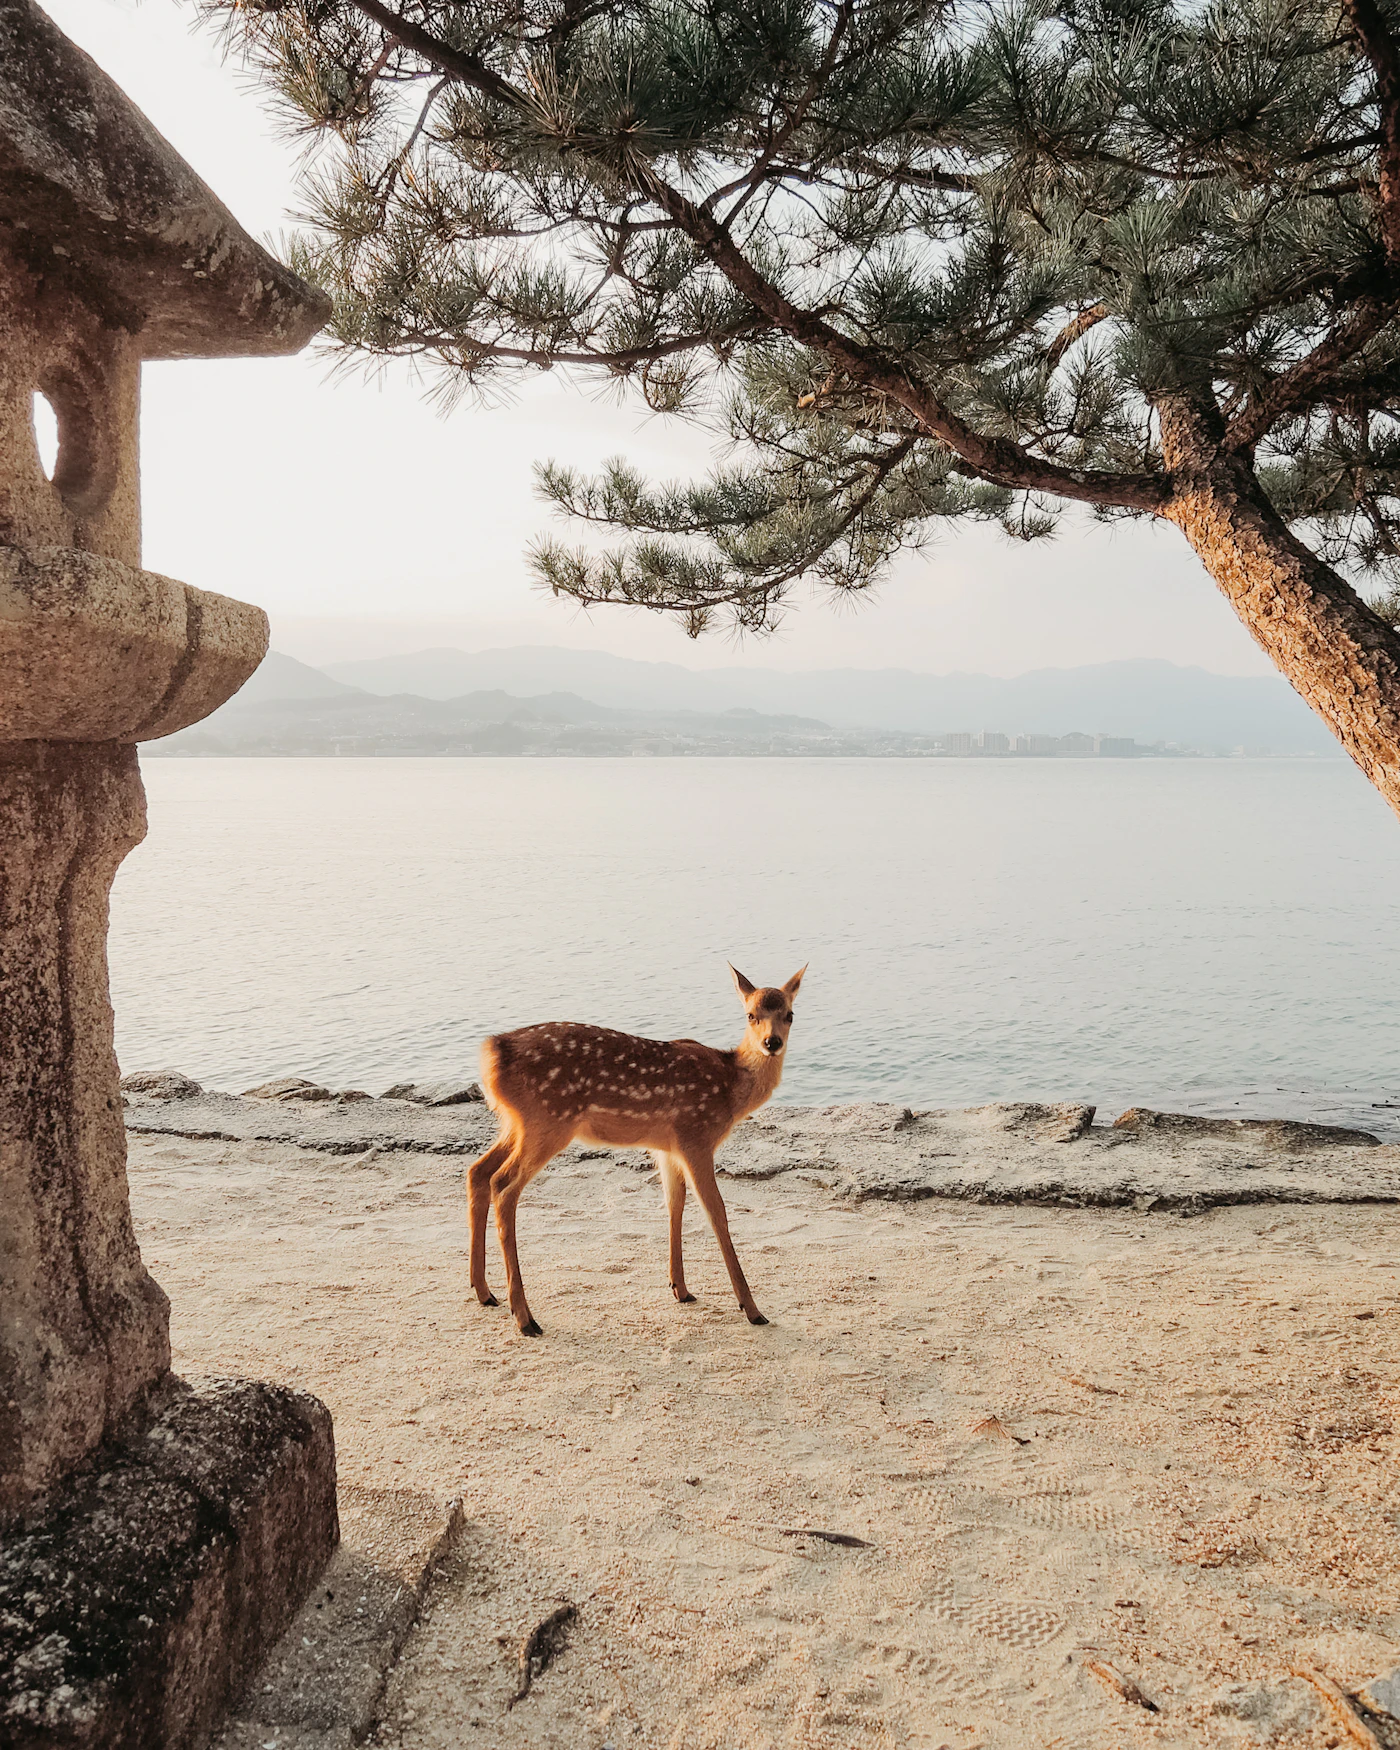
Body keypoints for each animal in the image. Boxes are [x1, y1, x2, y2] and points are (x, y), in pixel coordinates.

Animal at [466, 965, 806, 1335]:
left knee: (478, 1171)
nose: (772, 1043)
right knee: (503, 1185)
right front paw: (752, 1309)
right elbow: (717, 1212)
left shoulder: (668, 1148)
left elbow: (674, 1204)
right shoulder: (696, 1134)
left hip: (518, 1124)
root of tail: (491, 1054)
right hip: (549, 1121)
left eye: (789, 1014)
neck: (731, 1089)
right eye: (751, 1015)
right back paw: (525, 1317)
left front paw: (680, 1288)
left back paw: (484, 1292)